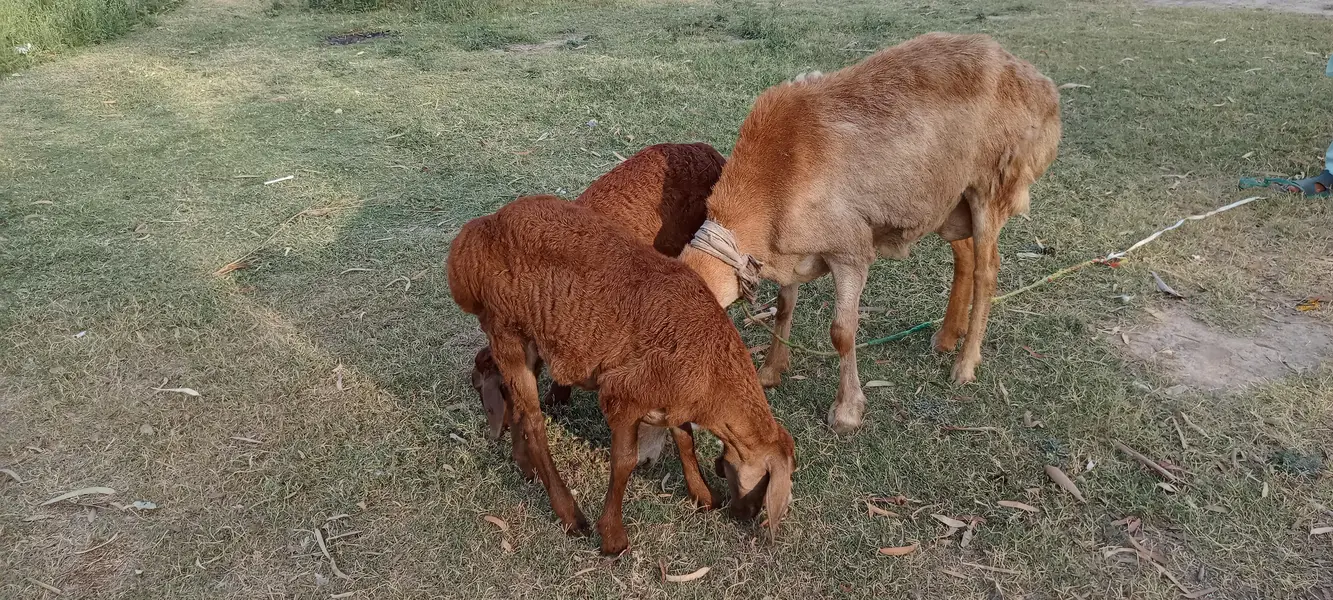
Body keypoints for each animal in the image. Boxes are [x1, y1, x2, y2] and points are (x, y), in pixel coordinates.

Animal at [448, 195, 795, 555]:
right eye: (767, 484)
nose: (745, 516)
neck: (713, 376)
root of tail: (471, 239)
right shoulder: (623, 395)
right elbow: (625, 461)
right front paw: (613, 537)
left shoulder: (671, 397)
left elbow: (685, 439)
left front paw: (702, 495)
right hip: (506, 331)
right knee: (533, 420)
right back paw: (570, 514)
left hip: (532, 340)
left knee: (512, 397)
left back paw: (522, 461)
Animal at [678, 32, 1062, 433]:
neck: (774, 174)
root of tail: (1043, 88)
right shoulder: (792, 250)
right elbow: (784, 307)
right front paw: (770, 372)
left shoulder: (850, 250)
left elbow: (842, 332)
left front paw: (847, 411)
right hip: (950, 201)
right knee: (967, 257)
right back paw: (946, 336)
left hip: (991, 188)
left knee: (987, 271)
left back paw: (965, 364)